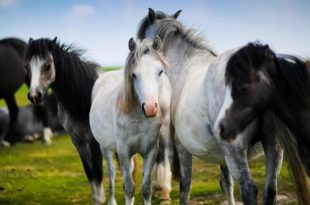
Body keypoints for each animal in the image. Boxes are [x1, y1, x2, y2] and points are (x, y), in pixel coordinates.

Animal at [89, 37, 172, 205]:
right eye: (134, 75)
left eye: (160, 72)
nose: (150, 108)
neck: (138, 120)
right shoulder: (123, 151)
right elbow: (128, 187)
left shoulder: (151, 151)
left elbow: (146, 188)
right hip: (105, 148)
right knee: (111, 173)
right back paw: (112, 201)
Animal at [137, 8, 286, 205]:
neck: (186, 63)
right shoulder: (222, 155)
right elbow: (226, 183)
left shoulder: (182, 146)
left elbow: (185, 185)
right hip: (273, 147)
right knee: (270, 190)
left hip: (235, 150)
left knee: (249, 189)